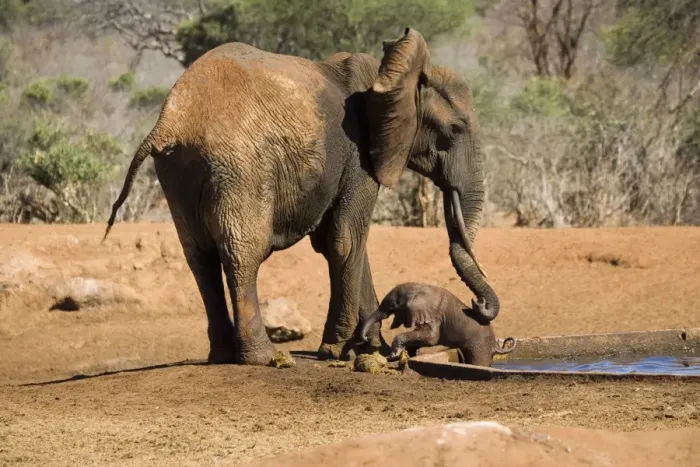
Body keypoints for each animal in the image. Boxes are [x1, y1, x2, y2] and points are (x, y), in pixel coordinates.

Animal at [104, 27, 500, 366]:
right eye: (455, 129)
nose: (477, 304)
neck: (388, 75)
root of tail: (169, 122)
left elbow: (344, 243)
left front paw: (370, 348)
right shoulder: (359, 156)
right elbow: (346, 241)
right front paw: (338, 350)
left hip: (177, 172)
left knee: (199, 256)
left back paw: (222, 355)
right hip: (239, 166)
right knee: (242, 253)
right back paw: (265, 357)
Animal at [360, 282, 515, 367]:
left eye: (392, 305)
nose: (365, 338)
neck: (417, 287)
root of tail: (495, 345)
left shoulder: (434, 316)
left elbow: (431, 337)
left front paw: (392, 356)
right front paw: (408, 355)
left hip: (480, 346)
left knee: (478, 362)